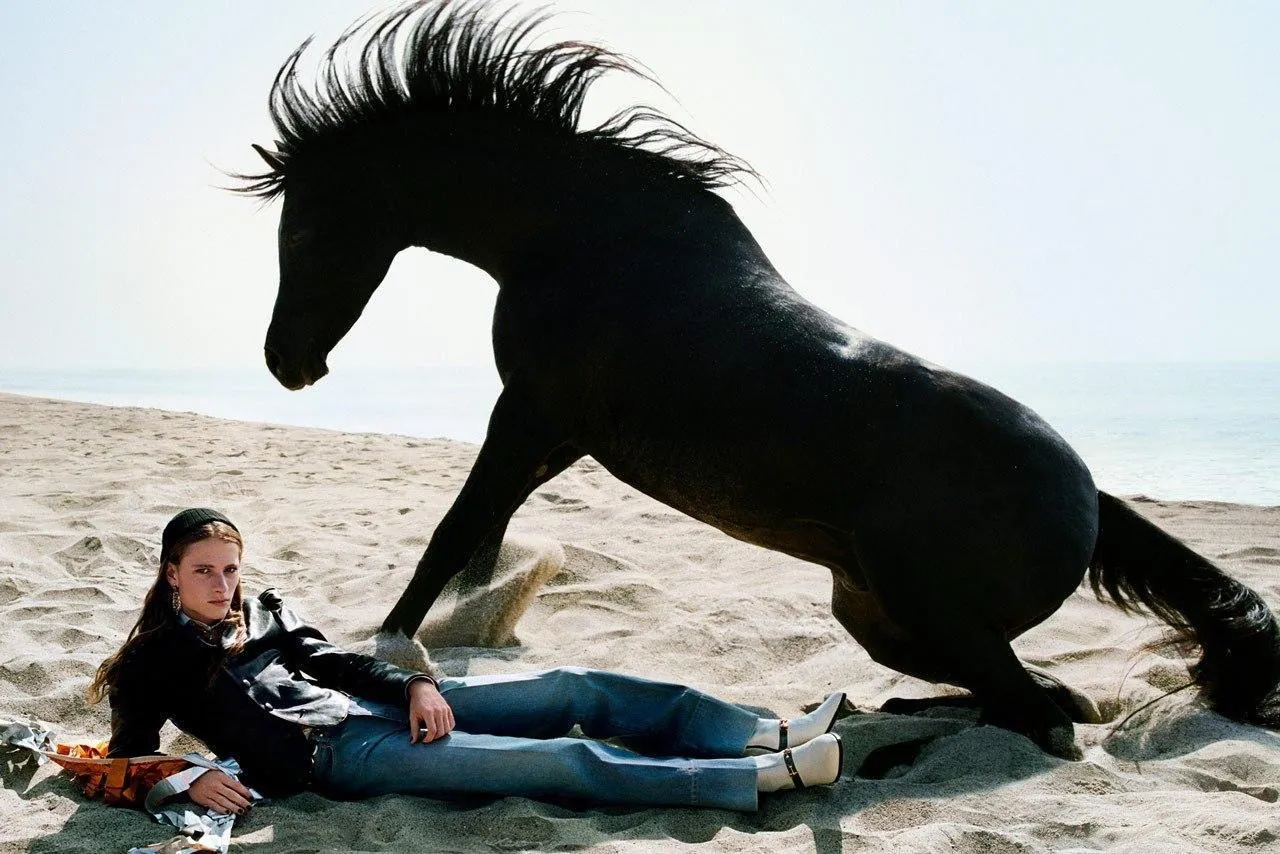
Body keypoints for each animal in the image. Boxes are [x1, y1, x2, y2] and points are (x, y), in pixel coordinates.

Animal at [234, 0, 1280, 759]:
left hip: (929, 611)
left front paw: (389, 650)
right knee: (1031, 698)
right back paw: (870, 716)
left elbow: (456, 528)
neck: (586, 239)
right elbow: (482, 528)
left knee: (1039, 711)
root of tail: (1092, 496)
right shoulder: (559, 433)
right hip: (881, 615)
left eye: (308, 227)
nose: (289, 362)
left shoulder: (530, 412)